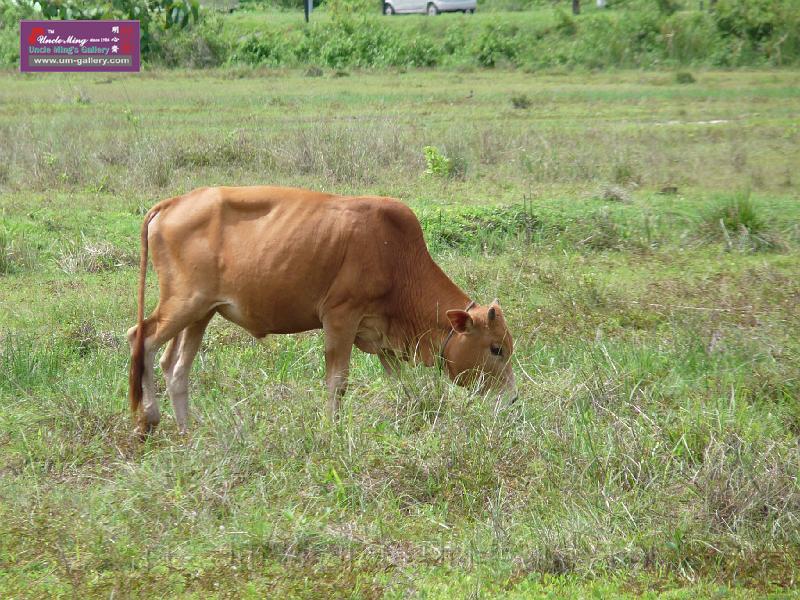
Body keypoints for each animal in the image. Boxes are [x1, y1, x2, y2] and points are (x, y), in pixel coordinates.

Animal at [130, 185, 520, 434]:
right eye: (496, 349)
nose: (512, 399)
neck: (398, 258)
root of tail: (172, 203)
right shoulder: (340, 318)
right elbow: (338, 383)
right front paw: (332, 429)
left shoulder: (382, 338)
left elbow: (403, 385)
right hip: (184, 303)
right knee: (142, 337)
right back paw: (149, 419)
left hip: (201, 313)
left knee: (175, 366)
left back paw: (186, 431)